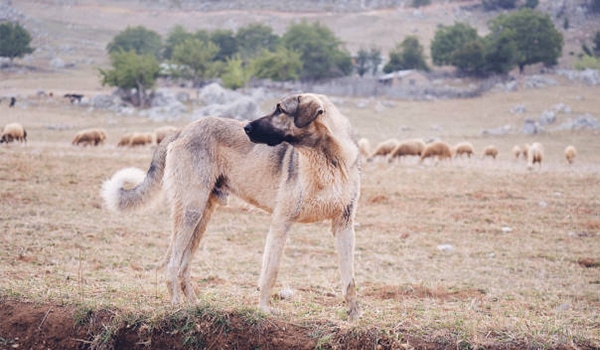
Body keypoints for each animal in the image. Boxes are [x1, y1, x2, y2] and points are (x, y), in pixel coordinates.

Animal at [102, 92, 360, 320]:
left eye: (280, 110)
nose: (246, 127)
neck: (328, 160)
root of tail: (183, 129)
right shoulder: (281, 222)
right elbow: (271, 271)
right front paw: (264, 310)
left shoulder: (344, 226)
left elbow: (349, 278)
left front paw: (354, 316)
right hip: (190, 212)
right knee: (171, 264)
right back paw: (176, 306)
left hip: (202, 218)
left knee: (183, 266)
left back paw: (195, 306)